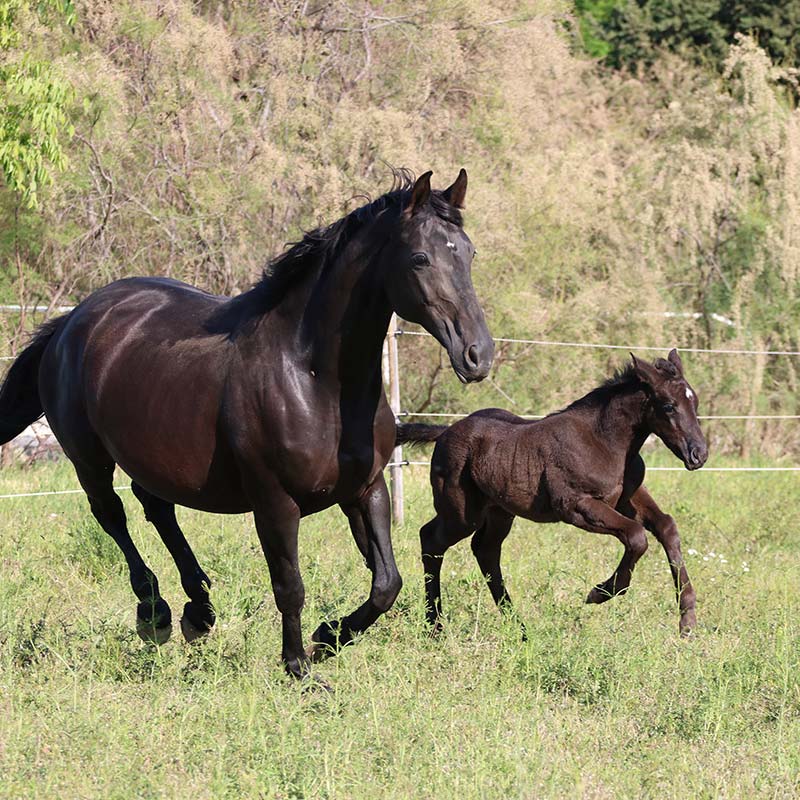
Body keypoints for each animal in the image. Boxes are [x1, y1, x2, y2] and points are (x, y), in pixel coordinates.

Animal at [0, 169, 494, 680]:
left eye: (469, 252)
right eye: (420, 258)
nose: (478, 355)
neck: (312, 376)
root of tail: (69, 323)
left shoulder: (366, 489)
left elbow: (386, 582)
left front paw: (329, 637)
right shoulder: (274, 502)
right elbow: (290, 585)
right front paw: (299, 668)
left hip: (152, 454)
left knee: (156, 507)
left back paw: (197, 610)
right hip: (89, 457)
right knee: (111, 514)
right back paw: (154, 611)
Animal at [396, 349, 708, 637]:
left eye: (694, 402)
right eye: (669, 406)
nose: (699, 454)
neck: (604, 441)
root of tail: (445, 431)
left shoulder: (629, 497)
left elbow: (666, 527)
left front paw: (688, 620)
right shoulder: (575, 505)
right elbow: (636, 536)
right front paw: (600, 592)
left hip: (499, 512)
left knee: (485, 550)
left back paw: (518, 627)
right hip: (461, 512)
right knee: (431, 540)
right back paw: (435, 627)